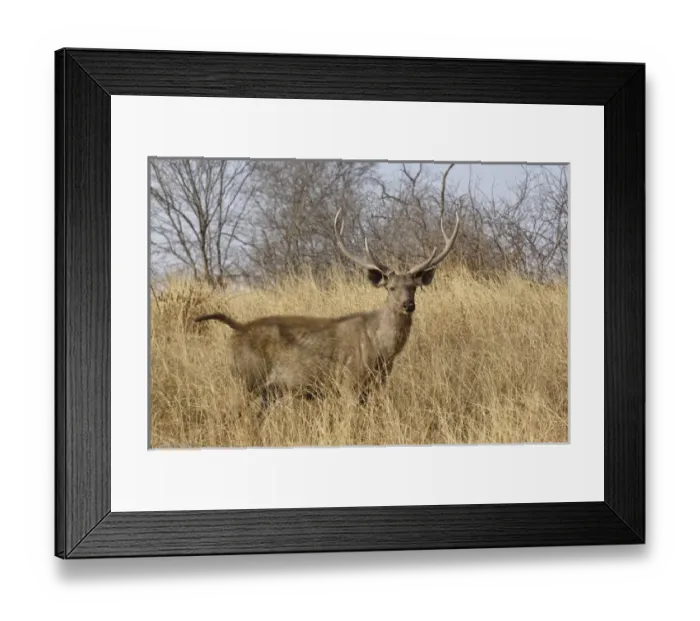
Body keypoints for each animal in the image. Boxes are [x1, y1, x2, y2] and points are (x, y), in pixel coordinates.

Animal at [194, 208, 460, 410]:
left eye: (413, 287)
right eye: (391, 287)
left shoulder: (374, 385)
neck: (381, 349)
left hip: (264, 390)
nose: (408, 305)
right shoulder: (350, 382)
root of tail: (238, 328)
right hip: (246, 379)